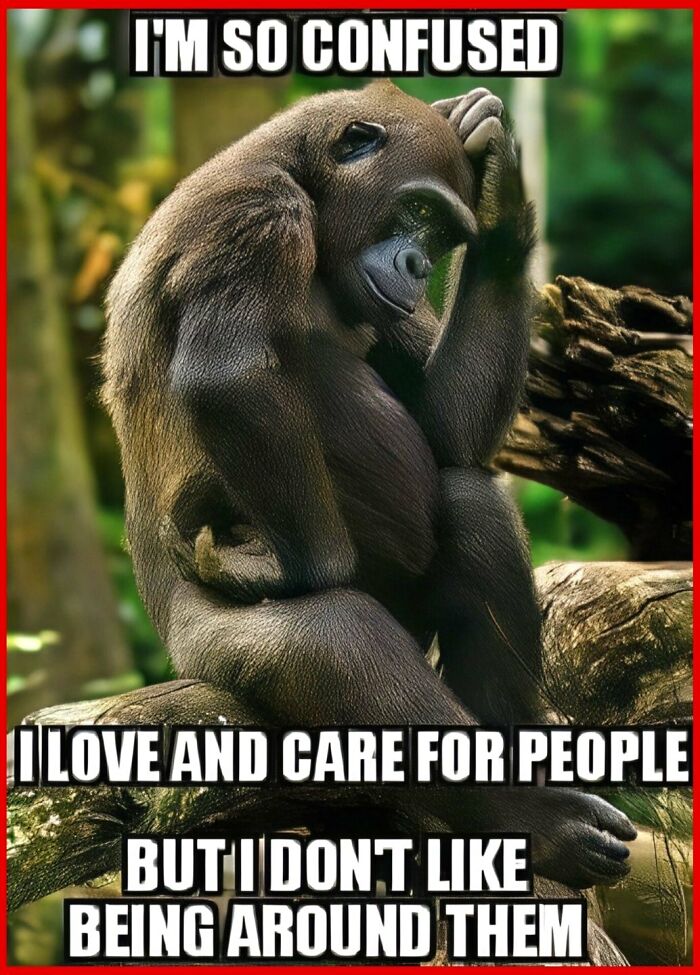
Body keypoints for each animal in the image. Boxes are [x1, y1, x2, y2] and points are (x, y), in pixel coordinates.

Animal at [103, 81, 636, 889]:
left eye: (445, 234)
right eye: (414, 211)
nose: (416, 262)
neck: (301, 173)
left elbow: (444, 432)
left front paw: (503, 201)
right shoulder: (257, 213)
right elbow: (229, 377)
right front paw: (295, 567)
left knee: (471, 503)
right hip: (198, 640)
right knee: (332, 640)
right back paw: (538, 820)